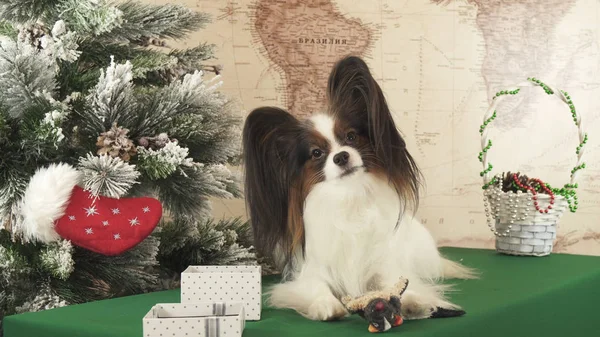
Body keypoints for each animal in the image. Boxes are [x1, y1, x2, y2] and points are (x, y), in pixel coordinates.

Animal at [241, 55, 476, 322]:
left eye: (351, 137)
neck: (349, 197)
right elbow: (316, 287)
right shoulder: (309, 273)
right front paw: (326, 304)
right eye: (316, 153)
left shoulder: (383, 267)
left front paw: (416, 302)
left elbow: (399, 284)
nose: (341, 156)